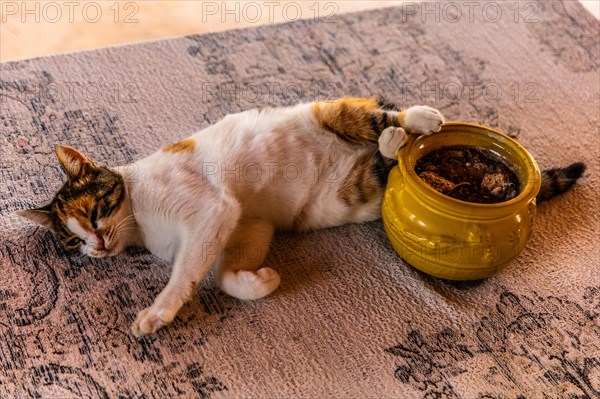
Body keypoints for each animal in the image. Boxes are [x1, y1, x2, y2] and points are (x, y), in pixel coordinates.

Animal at [15, 97, 584, 338]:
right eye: (70, 243)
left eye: (93, 212)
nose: (94, 247)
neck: (141, 223)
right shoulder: (242, 225)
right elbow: (226, 274)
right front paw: (260, 281)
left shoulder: (209, 212)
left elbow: (185, 276)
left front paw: (157, 314)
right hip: (347, 195)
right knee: (387, 161)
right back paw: (395, 144)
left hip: (332, 112)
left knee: (384, 115)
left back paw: (418, 121)